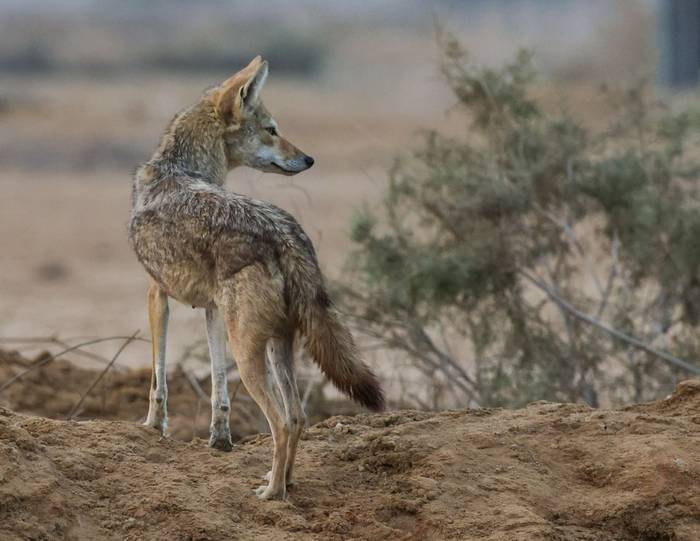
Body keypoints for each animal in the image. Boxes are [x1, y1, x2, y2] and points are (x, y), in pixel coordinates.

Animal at [129, 56, 384, 500]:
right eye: (272, 129)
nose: (310, 159)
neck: (177, 169)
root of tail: (285, 231)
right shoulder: (211, 310)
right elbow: (218, 387)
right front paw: (219, 439)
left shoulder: (155, 294)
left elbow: (158, 377)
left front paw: (153, 426)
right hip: (276, 346)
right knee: (297, 417)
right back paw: (283, 481)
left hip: (249, 354)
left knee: (280, 421)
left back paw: (273, 494)